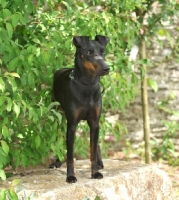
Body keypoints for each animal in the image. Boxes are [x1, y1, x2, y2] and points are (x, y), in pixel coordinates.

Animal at [52, 35, 110, 183]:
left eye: (103, 52)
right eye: (88, 52)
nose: (107, 68)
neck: (87, 85)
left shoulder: (94, 122)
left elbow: (93, 151)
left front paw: (95, 172)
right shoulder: (72, 125)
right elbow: (70, 156)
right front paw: (70, 176)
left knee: (96, 144)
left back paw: (100, 164)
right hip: (57, 117)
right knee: (58, 139)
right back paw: (57, 162)